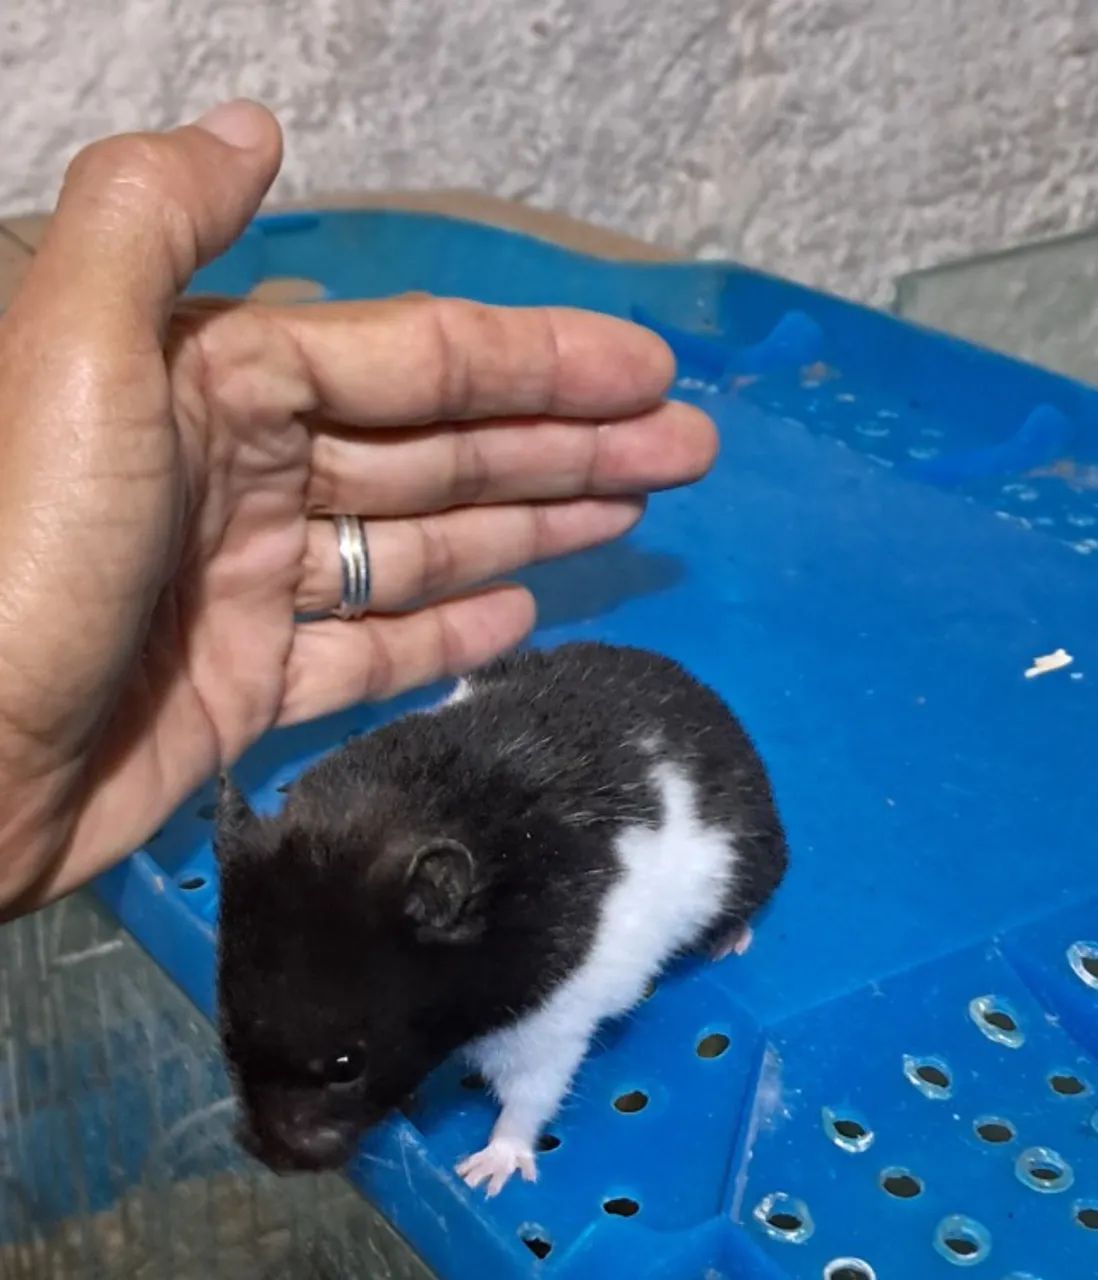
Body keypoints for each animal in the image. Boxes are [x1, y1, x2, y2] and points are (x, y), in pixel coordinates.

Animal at [214, 642, 787, 1196]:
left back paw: (729, 942)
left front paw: (484, 1176)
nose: (273, 1162)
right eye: (228, 1029)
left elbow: (530, 1097)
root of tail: (711, 703)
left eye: (346, 1067)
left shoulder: (550, 1024)